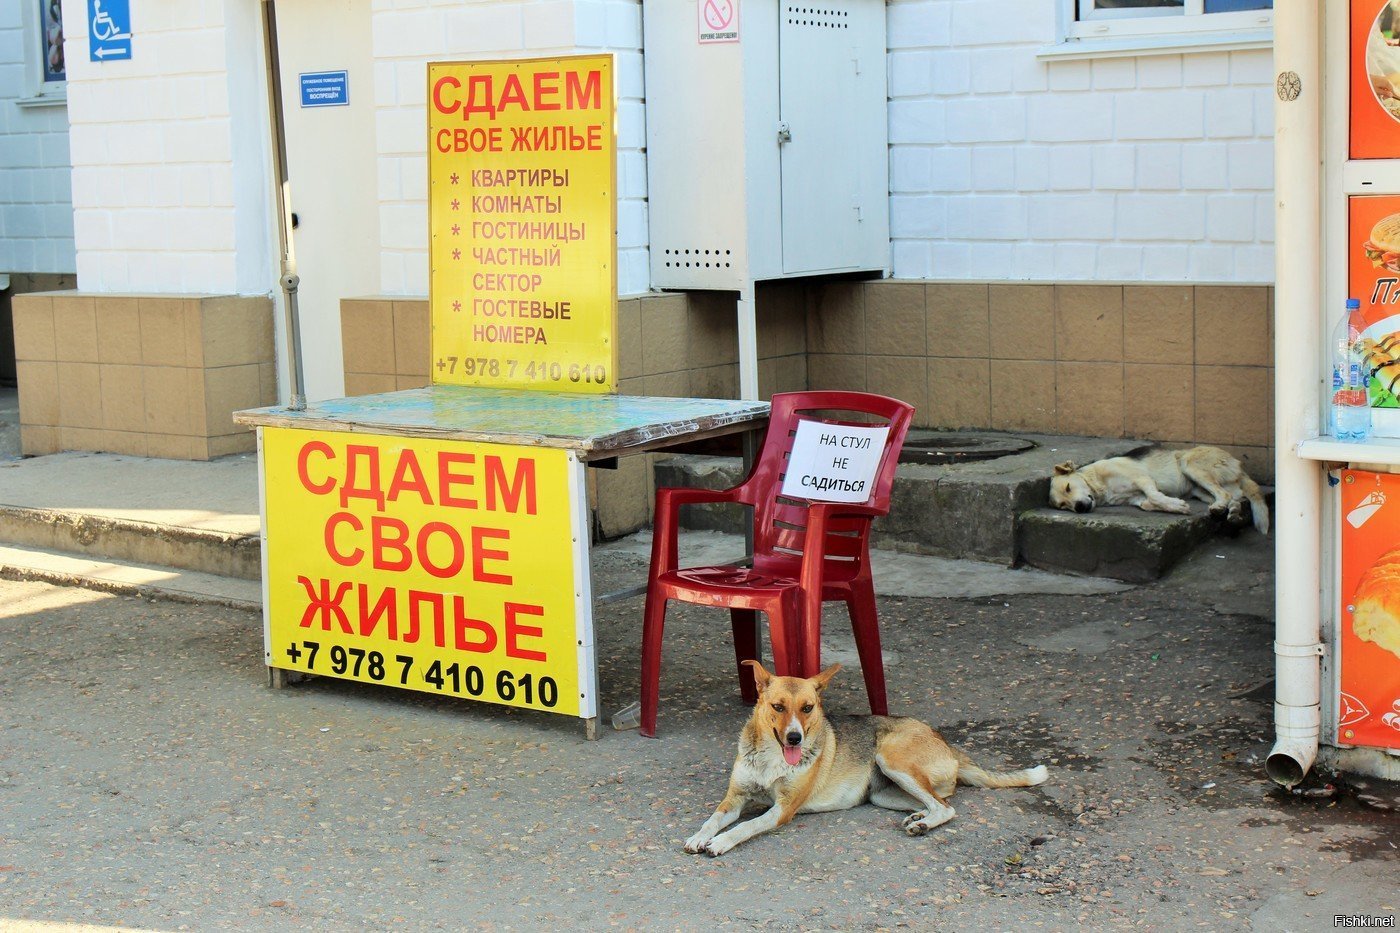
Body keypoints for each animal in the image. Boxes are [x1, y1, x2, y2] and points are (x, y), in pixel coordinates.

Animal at [683, 658, 1047, 851]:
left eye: (808, 708)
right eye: (778, 707)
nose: (795, 737)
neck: (771, 758)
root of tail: (945, 742)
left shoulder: (783, 809)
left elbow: (747, 825)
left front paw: (721, 842)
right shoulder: (734, 798)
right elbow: (712, 819)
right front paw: (699, 836)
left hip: (892, 758)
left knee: (946, 807)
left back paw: (922, 825)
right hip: (882, 794)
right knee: (939, 803)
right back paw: (919, 819)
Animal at [1052, 442, 1271, 529]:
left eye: (1068, 487)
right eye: (1063, 506)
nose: (1079, 507)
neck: (1098, 484)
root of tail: (1238, 464)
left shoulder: (1143, 479)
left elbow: (1155, 496)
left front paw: (1178, 506)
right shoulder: (1138, 498)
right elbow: (1150, 503)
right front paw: (1174, 506)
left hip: (1190, 465)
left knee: (1225, 495)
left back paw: (1222, 509)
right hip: (1199, 490)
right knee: (1234, 496)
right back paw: (1231, 513)